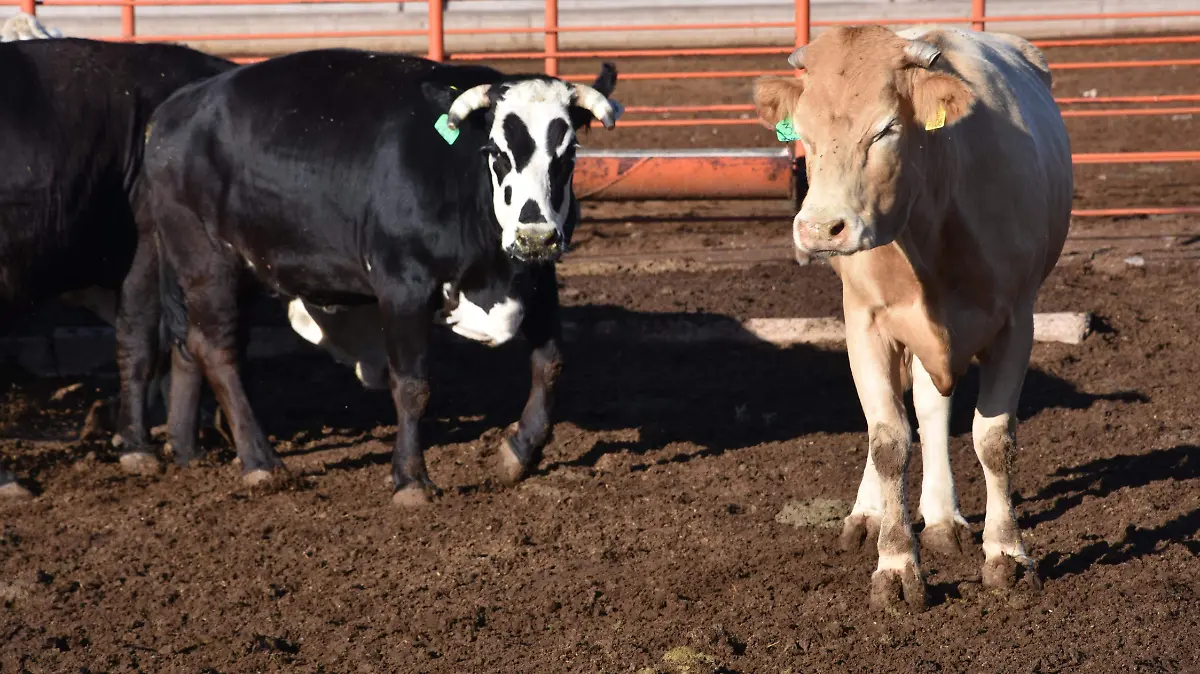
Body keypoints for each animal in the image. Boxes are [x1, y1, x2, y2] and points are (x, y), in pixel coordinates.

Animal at [119, 49, 619, 506]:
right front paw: (411, 479)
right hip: (207, 260)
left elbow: (550, 362)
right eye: (496, 152)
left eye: (569, 153)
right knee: (216, 350)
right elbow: (413, 386)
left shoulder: (539, 278)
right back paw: (260, 462)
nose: (535, 235)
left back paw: (187, 448)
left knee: (187, 343)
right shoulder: (403, 288)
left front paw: (521, 449)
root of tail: (172, 111)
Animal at [753, 25, 1071, 610]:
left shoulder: (1018, 321)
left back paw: (944, 518)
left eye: (886, 129)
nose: (819, 229)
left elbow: (993, 440)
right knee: (904, 413)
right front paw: (896, 562)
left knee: (932, 407)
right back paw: (870, 514)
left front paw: (1007, 555)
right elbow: (888, 441)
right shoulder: (865, 323)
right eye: (802, 133)